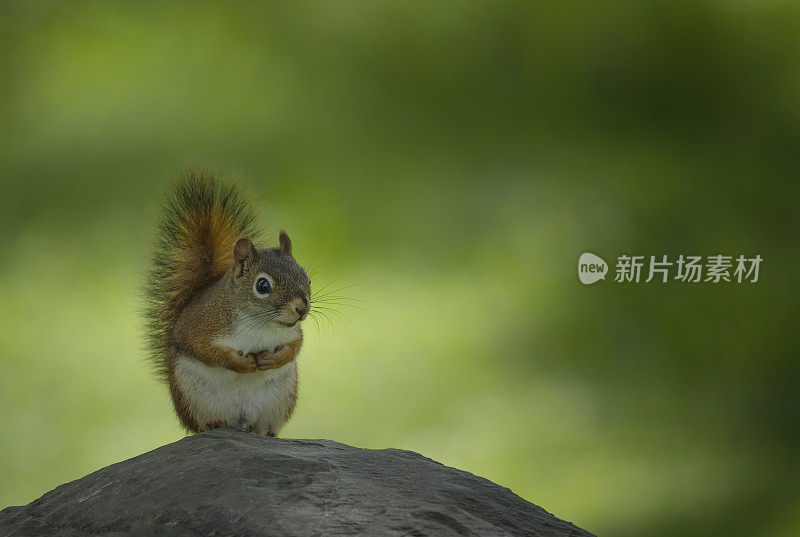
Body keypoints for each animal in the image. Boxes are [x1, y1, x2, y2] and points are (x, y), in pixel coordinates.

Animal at [144, 168, 310, 436]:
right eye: (263, 286)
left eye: (305, 275)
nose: (302, 309)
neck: (259, 323)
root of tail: (240, 423)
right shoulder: (198, 327)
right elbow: (205, 350)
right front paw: (240, 362)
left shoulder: (292, 332)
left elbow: (295, 346)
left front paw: (271, 359)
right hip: (192, 398)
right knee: (200, 423)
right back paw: (211, 424)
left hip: (280, 398)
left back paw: (266, 432)